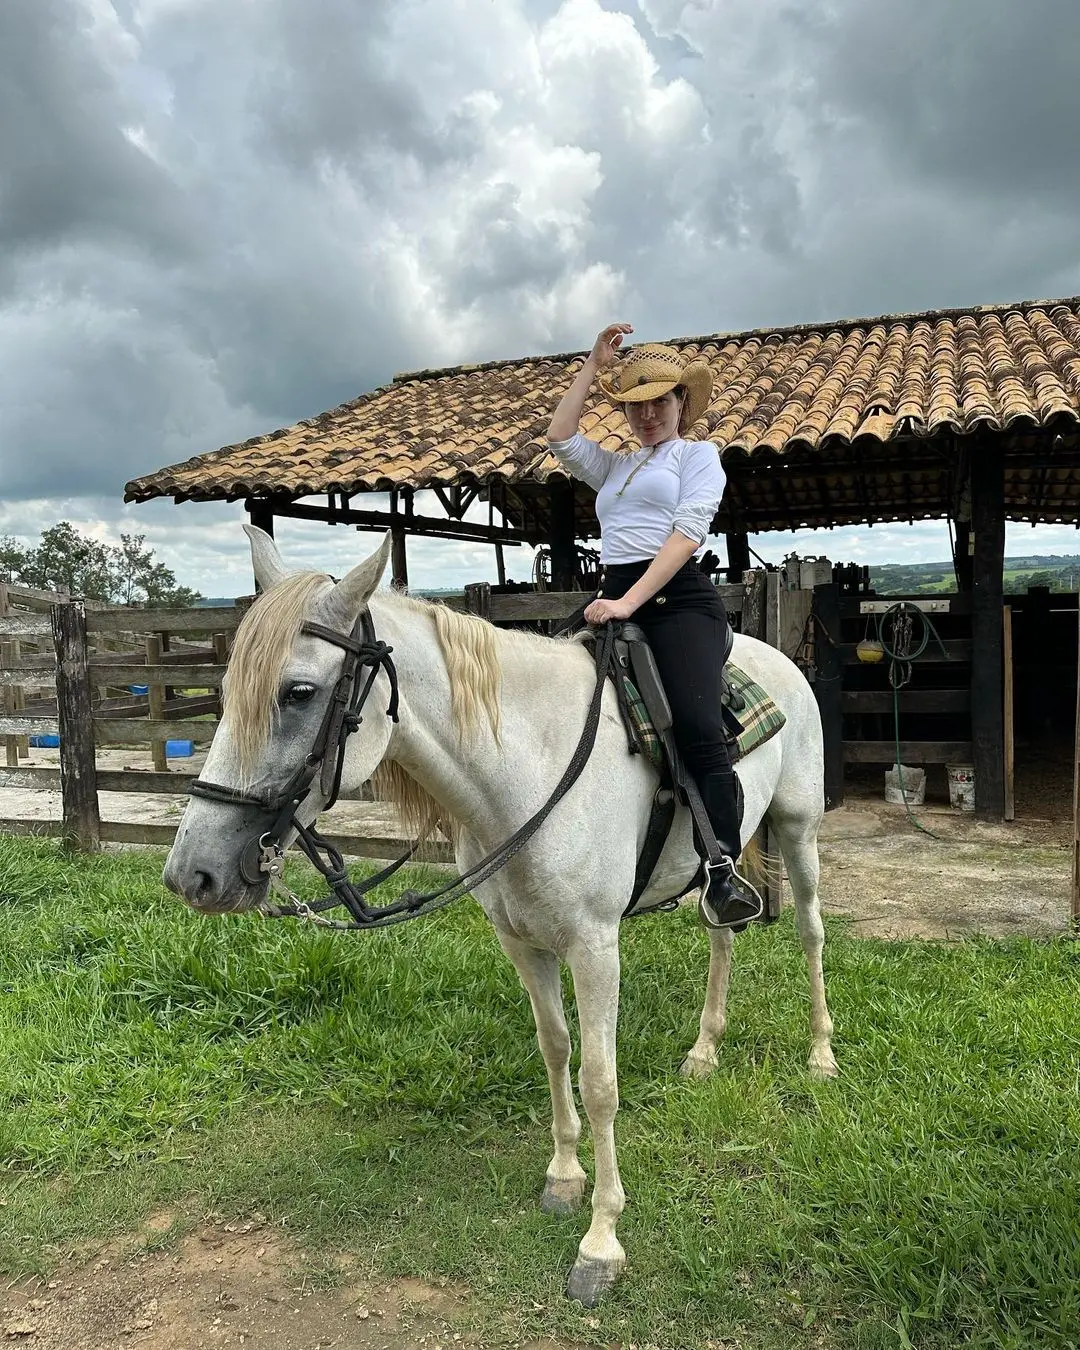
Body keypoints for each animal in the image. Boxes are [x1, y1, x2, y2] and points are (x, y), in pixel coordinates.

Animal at [163, 526, 837, 1307]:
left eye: (298, 692)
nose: (193, 874)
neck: (528, 766)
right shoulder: (522, 943)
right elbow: (555, 1050)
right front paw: (564, 1178)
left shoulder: (595, 947)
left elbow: (600, 1082)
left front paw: (601, 1243)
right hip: (715, 868)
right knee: (721, 931)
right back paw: (704, 1052)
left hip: (799, 830)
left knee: (810, 931)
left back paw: (821, 1056)